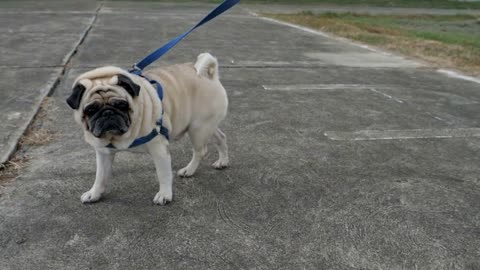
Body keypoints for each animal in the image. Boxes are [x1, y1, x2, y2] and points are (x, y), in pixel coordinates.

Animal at [65, 52, 229, 205]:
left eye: (122, 105)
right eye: (91, 110)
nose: (107, 113)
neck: (119, 136)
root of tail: (209, 75)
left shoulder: (159, 149)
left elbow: (163, 174)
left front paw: (164, 194)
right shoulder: (103, 153)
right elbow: (100, 176)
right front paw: (94, 193)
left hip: (198, 129)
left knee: (201, 151)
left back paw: (189, 170)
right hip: (206, 126)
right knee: (221, 137)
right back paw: (223, 161)